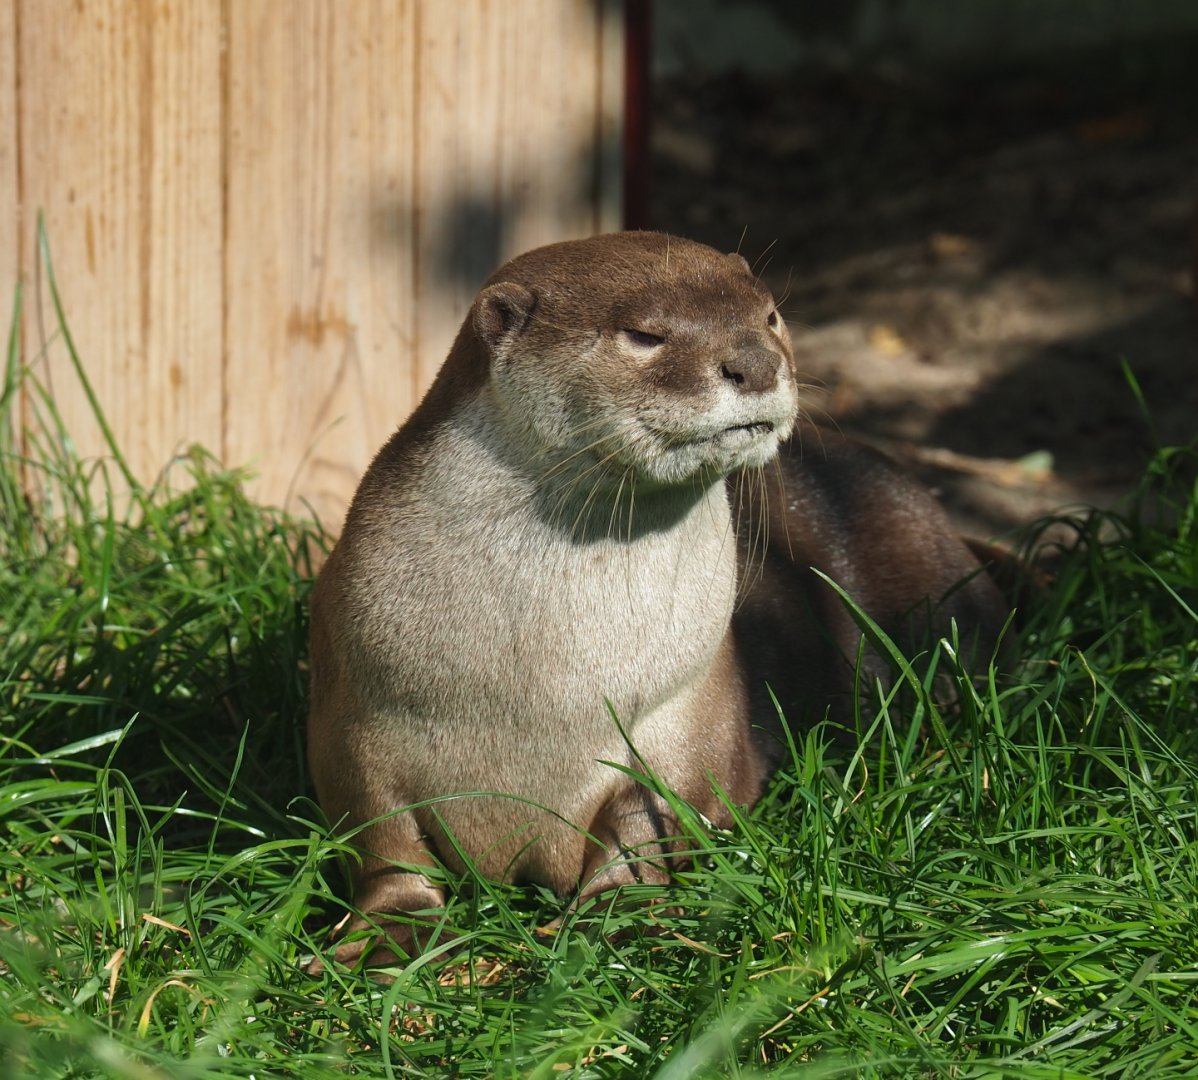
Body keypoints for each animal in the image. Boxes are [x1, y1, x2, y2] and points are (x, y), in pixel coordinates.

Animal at [306, 231, 1007, 968]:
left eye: (769, 317)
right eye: (644, 335)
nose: (757, 362)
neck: (536, 699)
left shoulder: (679, 721)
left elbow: (644, 827)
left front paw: (619, 922)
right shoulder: (354, 730)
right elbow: (385, 847)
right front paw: (387, 937)